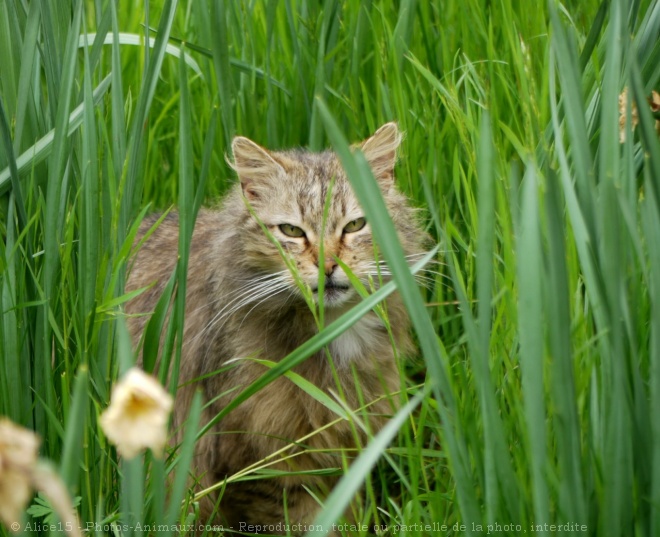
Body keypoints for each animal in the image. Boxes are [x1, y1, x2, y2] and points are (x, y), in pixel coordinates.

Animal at [125, 122, 428, 532]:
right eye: (291, 231)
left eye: (355, 225)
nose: (328, 266)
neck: (331, 332)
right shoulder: (259, 459)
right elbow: (303, 521)